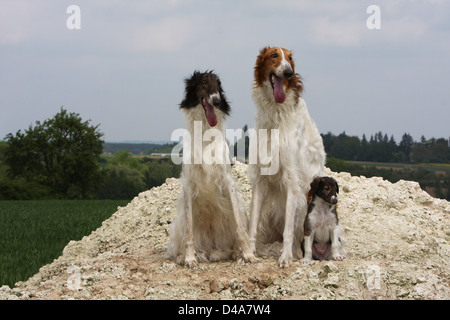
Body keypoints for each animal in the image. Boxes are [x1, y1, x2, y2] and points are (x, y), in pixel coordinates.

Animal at [248, 47, 326, 268]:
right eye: (274, 55)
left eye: (290, 59)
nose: (289, 73)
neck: (275, 113)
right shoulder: (260, 179)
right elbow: (253, 225)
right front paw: (249, 253)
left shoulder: (292, 180)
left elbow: (288, 232)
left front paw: (285, 258)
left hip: (303, 205)